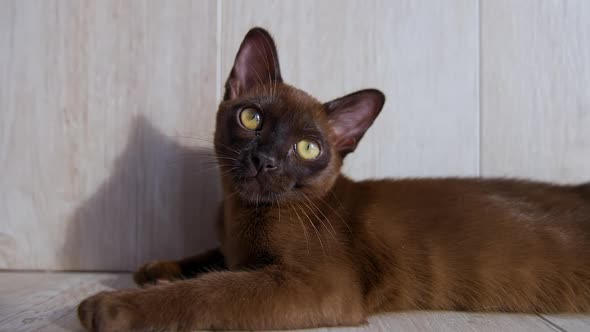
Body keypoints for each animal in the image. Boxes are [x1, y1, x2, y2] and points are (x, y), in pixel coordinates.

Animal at [77, 27, 590, 330]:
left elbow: (213, 291)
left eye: (308, 147)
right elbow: (209, 260)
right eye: (251, 118)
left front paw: (112, 305)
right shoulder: (237, 251)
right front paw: (155, 268)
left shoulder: (317, 283)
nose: (266, 160)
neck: (240, 218)